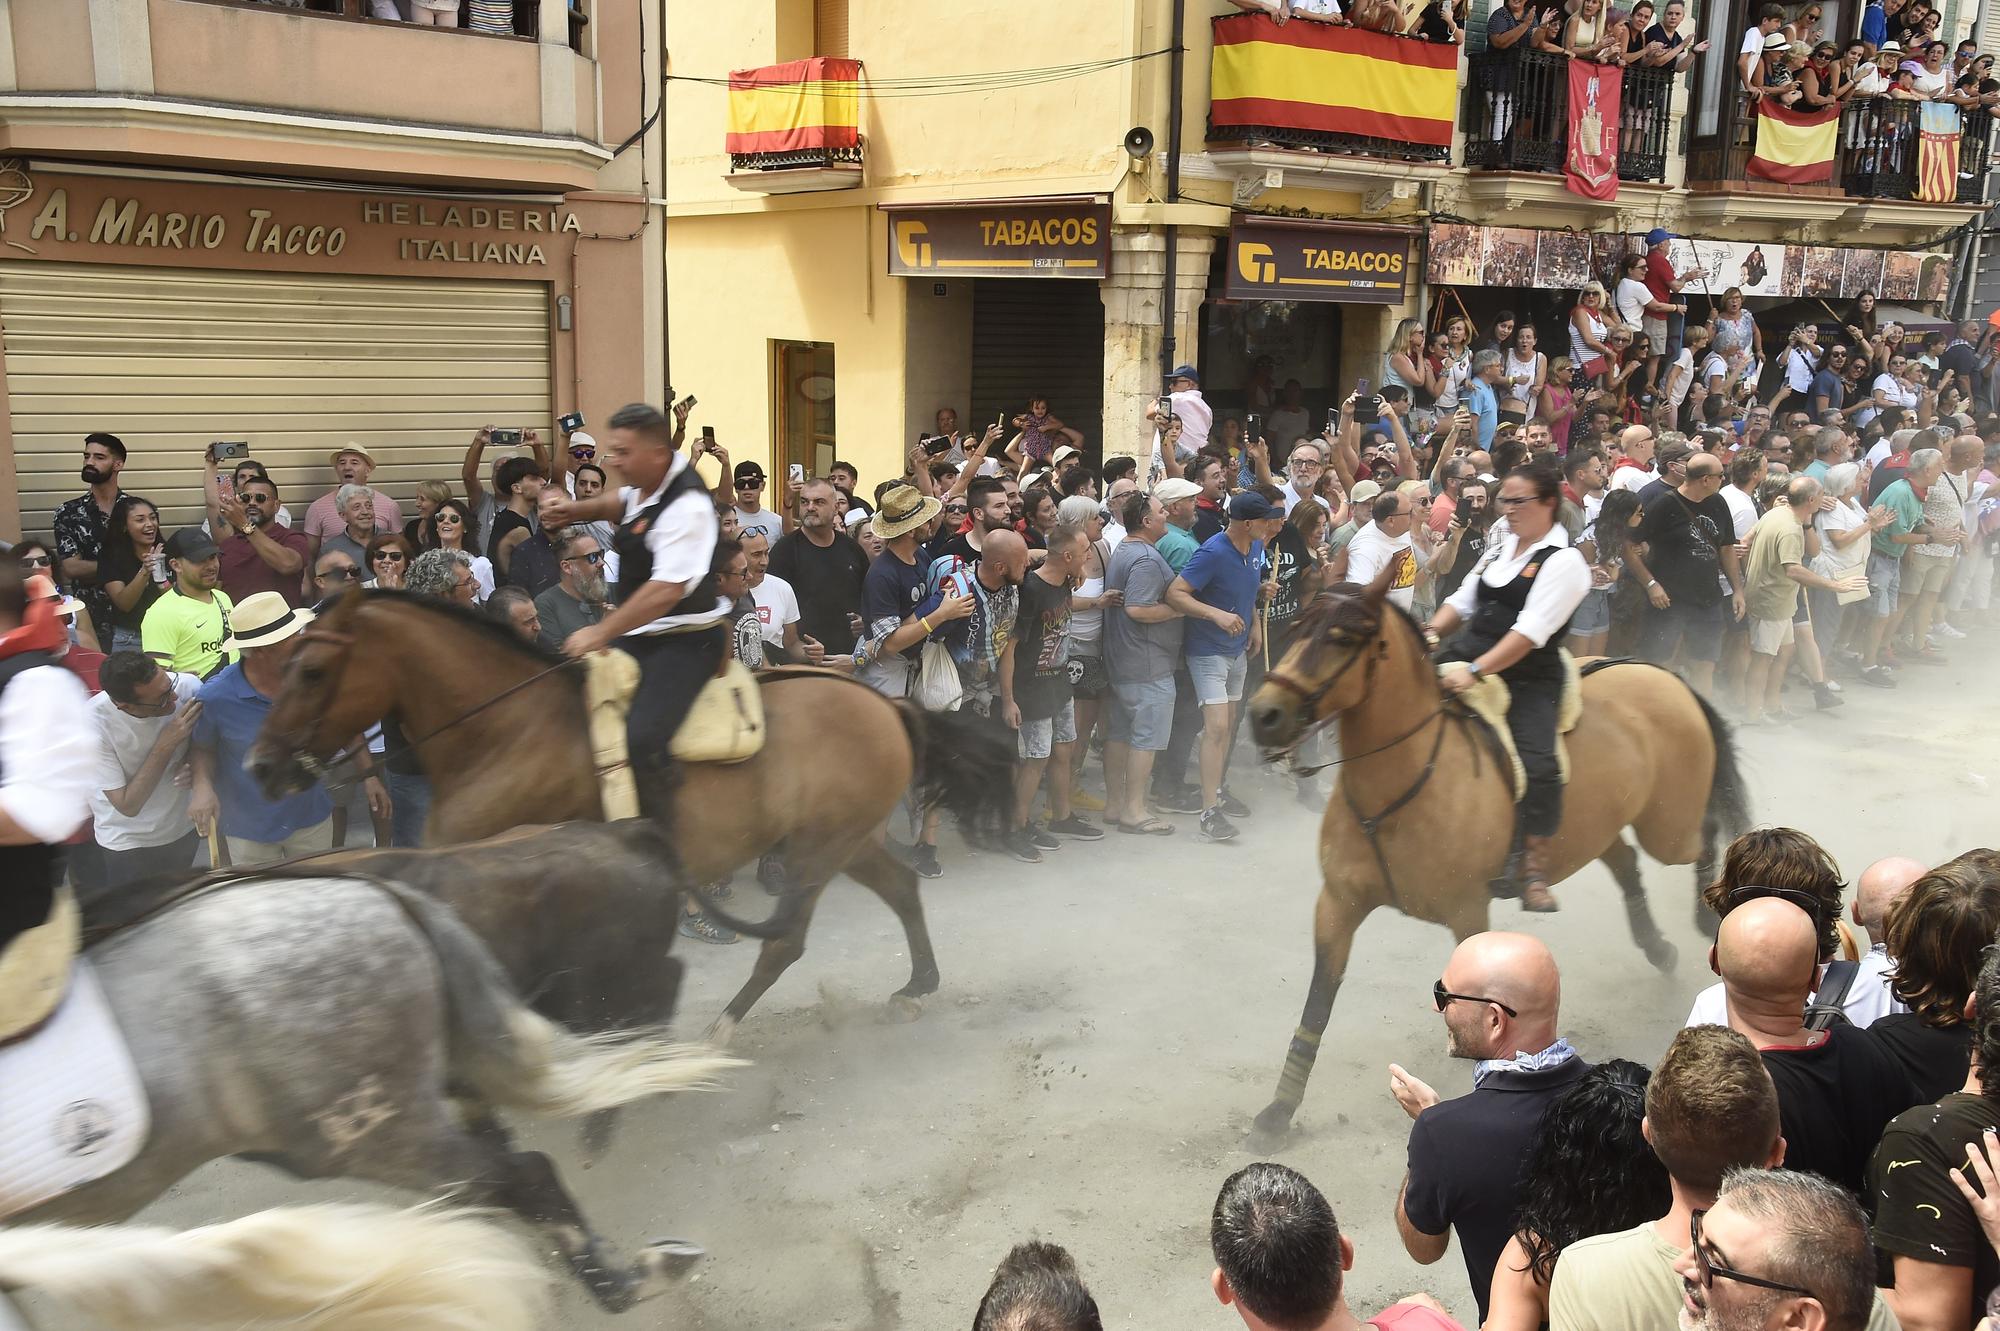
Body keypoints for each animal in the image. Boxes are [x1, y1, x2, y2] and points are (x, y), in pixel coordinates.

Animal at [252, 587, 1024, 1039]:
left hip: (819, 848)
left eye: (312, 670)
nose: (261, 766)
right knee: (900, 887)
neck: (507, 732)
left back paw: (719, 1030)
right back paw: (916, 984)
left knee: (785, 942)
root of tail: (884, 705)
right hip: (844, 839)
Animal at [1240, 563, 1744, 1143]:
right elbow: (1318, 1003)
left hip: (1669, 828)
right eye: (1298, 626)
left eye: (1343, 638)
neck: (1403, 780)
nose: (1264, 715)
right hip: (1606, 826)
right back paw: (1656, 946)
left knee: (1704, 832)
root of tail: (1659, 672)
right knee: (1625, 864)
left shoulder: (1467, 915)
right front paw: (1279, 1109)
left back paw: (1708, 918)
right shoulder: (1338, 904)